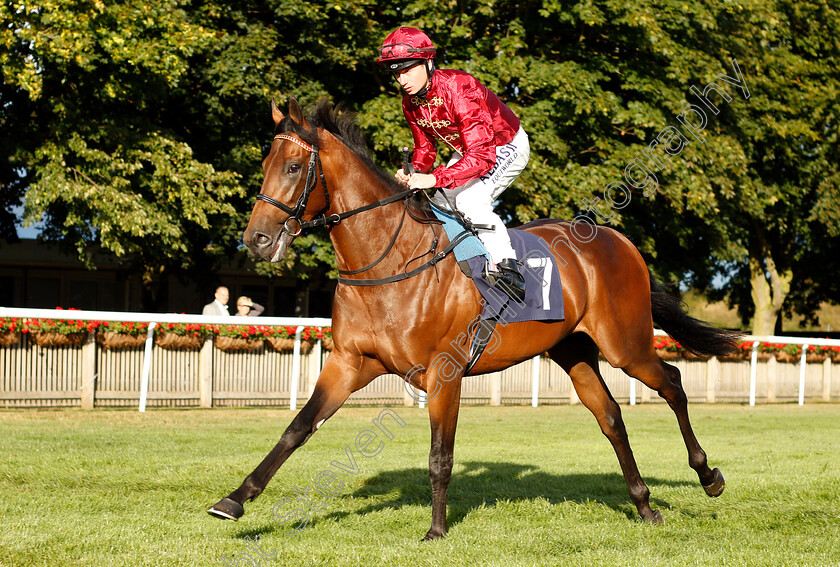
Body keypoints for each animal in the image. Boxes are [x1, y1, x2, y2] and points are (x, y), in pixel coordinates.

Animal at [208, 98, 736, 540]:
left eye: (295, 166)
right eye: (265, 165)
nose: (255, 239)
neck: (388, 261)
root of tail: (619, 240)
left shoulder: (444, 374)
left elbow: (440, 456)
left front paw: (436, 530)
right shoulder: (349, 363)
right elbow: (297, 428)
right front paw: (234, 500)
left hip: (625, 344)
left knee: (672, 382)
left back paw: (707, 475)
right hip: (574, 351)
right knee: (611, 417)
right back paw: (644, 505)